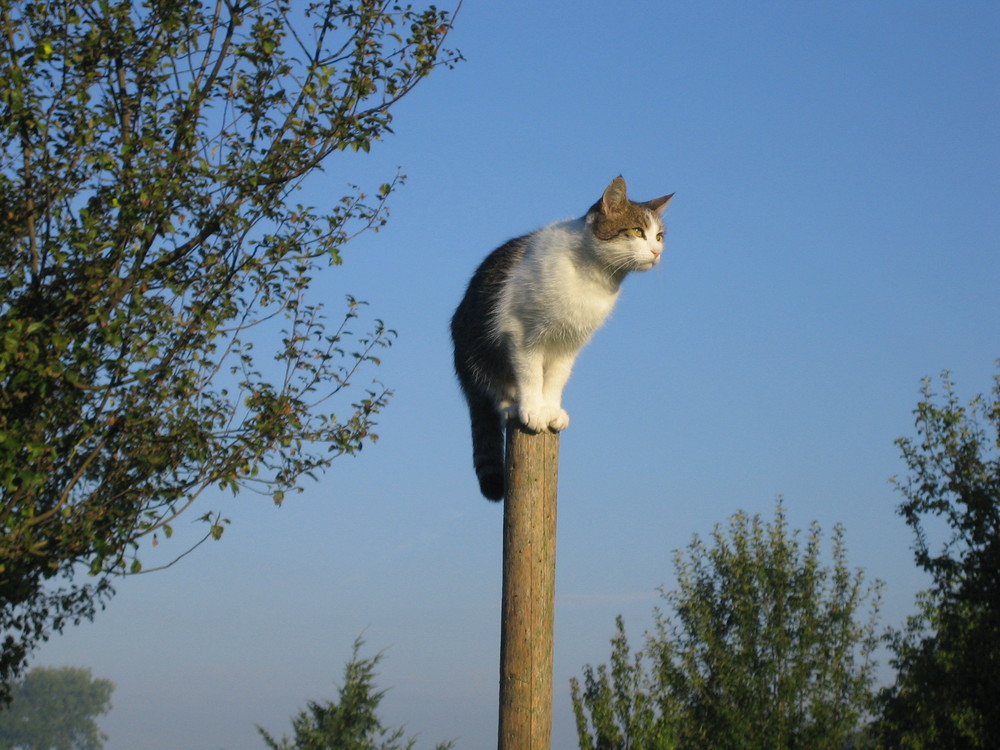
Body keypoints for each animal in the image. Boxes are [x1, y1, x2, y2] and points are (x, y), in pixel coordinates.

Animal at [452, 178, 672, 502]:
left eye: (659, 236)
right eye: (636, 231)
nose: (657, 251)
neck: (594, 277)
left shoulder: (569, 344)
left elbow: (556, 379)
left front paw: (551, 410)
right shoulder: (521, 333)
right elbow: (531, 375)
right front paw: (533, 409)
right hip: (478, 350)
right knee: (493, 390)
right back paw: (511, 406)